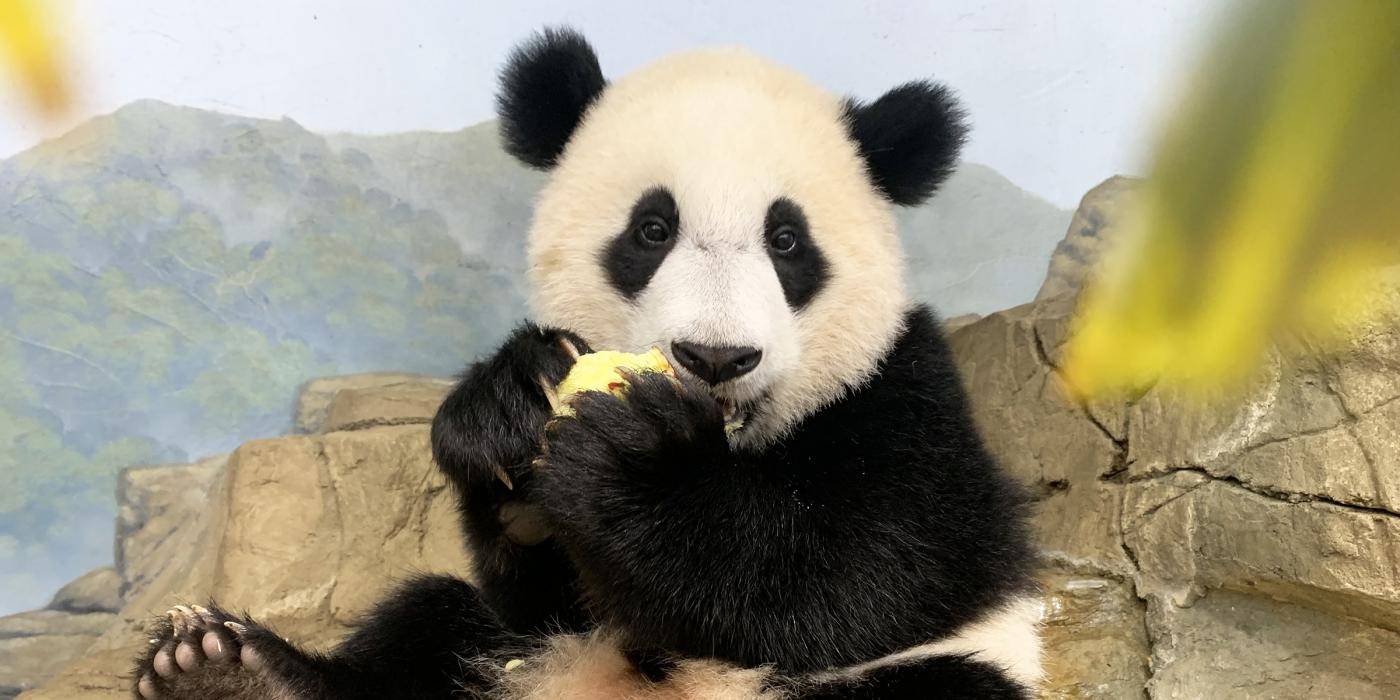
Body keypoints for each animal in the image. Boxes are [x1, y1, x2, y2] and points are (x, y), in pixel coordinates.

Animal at [136, 24, 1047, 697]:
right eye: (652, 229)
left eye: (788, 241)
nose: (716, 356)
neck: (729, 445)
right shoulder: (549, 608)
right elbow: (538, 590)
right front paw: (506, 408)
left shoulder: (908, 395)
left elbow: (857, 573)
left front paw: (639, 468)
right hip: (492, 651)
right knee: (429, 623)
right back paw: (225, 672)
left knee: (940, 684)